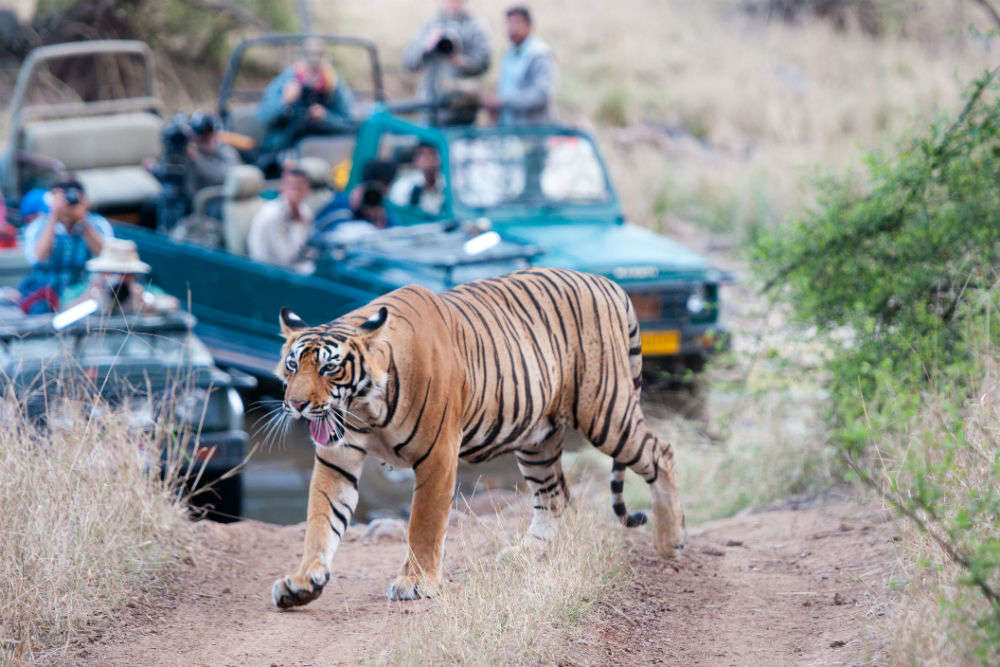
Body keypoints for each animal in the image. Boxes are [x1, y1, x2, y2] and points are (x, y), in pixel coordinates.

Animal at [270, 268, 684, 612]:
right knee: (555, 496)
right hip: (537, 439)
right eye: (292, 365)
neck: (366, 408)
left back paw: (671, 543)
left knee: (661, 453)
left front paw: (415, 582)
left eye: (329, 368)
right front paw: (303, 583)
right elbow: (321, 520)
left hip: (605, 412)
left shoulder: (437, 455)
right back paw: (524, 555)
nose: (297, 404)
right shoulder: (336, 458)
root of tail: (608, 283)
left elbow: (424, 524)